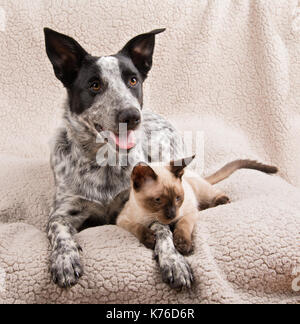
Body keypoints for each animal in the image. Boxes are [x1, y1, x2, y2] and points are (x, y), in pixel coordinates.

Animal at [44, 26, 195, 288]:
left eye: (133, 80)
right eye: (94, 85)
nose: (132, 116)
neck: (104, 162)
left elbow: (163, 230)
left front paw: (173, 260)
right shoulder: (63, 212)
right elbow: (59, 232)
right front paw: (64, 259)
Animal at [116, 158, 276, 254]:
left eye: (178, 198)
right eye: (158, 200)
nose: (172, 214)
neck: (153, 217)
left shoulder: (189, 212)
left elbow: (183, 225)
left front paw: (183, 245)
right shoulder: (122, 220)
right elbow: (137, 227)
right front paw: (150, 239)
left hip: (202, 191)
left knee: (215, 194)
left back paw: (221, 201)